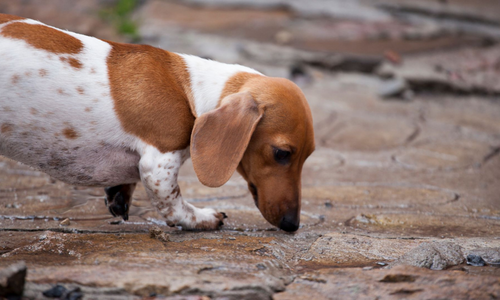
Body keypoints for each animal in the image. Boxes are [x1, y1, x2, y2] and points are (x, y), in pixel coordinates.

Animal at [0, 13, 314, 232]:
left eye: (307, 157)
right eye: (281, 153)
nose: (292, 225)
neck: (190, 90)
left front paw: (119, 195)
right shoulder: (159, 164)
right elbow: (174, 205)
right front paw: (203, 217)